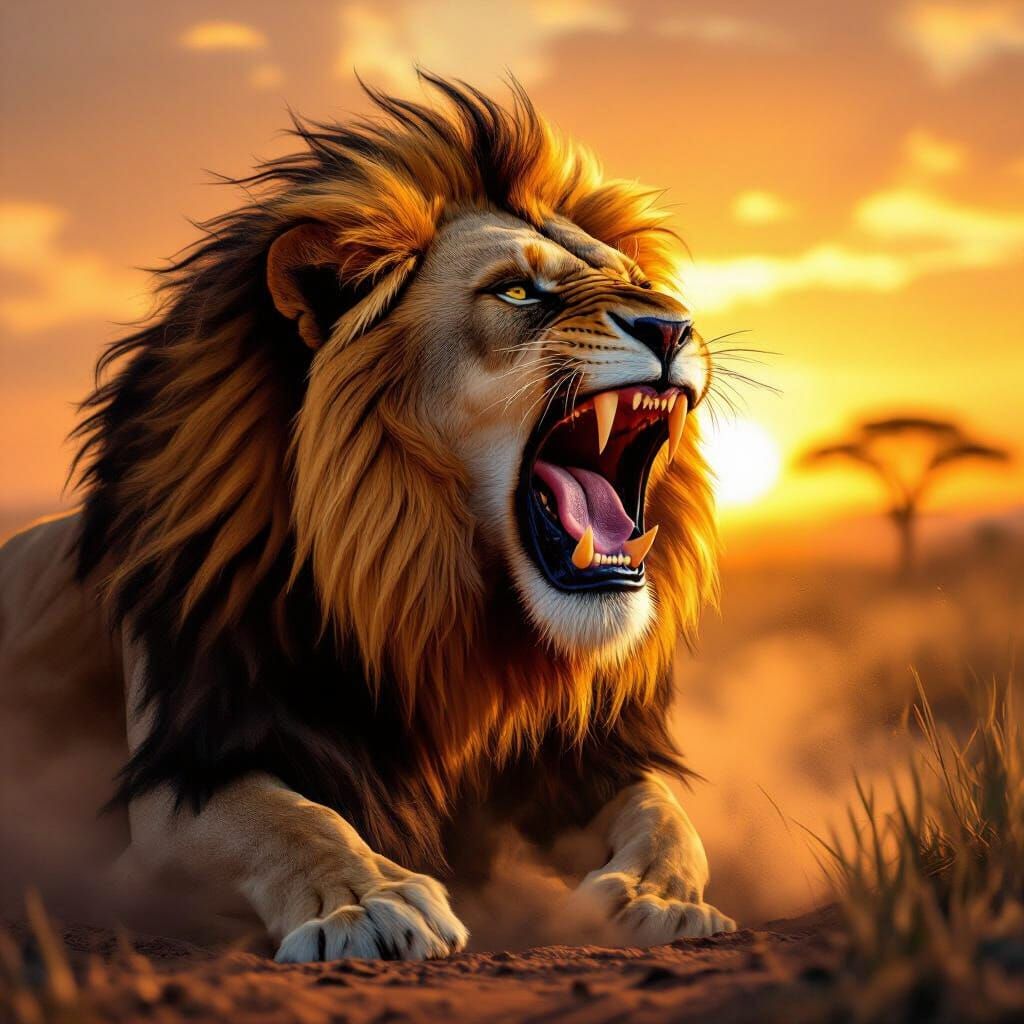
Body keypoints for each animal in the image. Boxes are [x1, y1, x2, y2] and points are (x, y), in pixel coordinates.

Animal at [0, 75, 733, 960]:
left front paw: (660, 896)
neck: (454, 628)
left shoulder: (578, 759)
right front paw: (368, 903)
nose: (671, 324)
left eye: (642, 284)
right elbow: (289, 818)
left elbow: (666, 812)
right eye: (517, 290)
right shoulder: (182, 772)